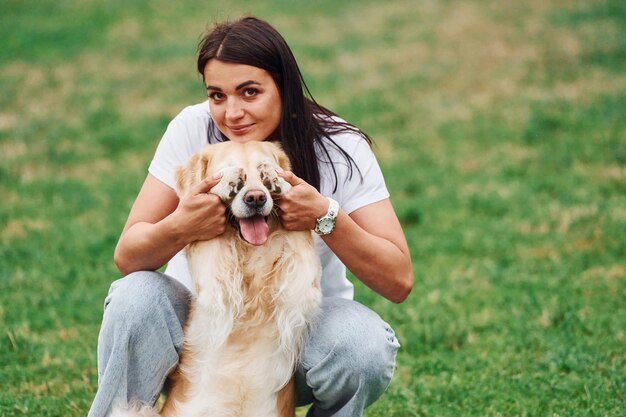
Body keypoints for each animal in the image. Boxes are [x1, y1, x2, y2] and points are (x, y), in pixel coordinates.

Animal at [109, 140, 320, 416]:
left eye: (263, 169)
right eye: (227, 169)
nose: (256, 198)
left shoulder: (301, 283)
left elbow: (299, 241)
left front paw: (278, 181)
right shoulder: (212, 266)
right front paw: (226, 183)